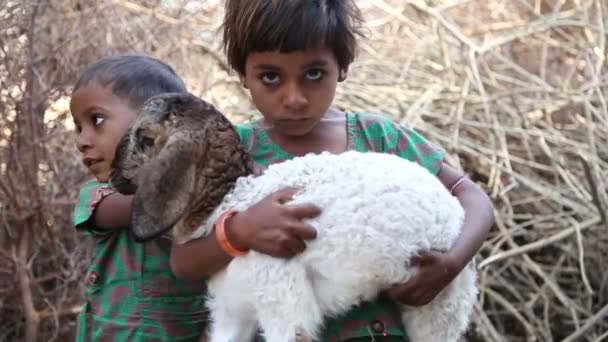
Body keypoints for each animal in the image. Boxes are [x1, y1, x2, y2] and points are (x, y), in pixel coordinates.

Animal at [109, 93, 480, 342]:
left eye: (145, 139)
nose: (112, 173)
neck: (228, 200)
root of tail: (454, 208)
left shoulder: (282, 299)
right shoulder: (233, 311)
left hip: (441, 300)